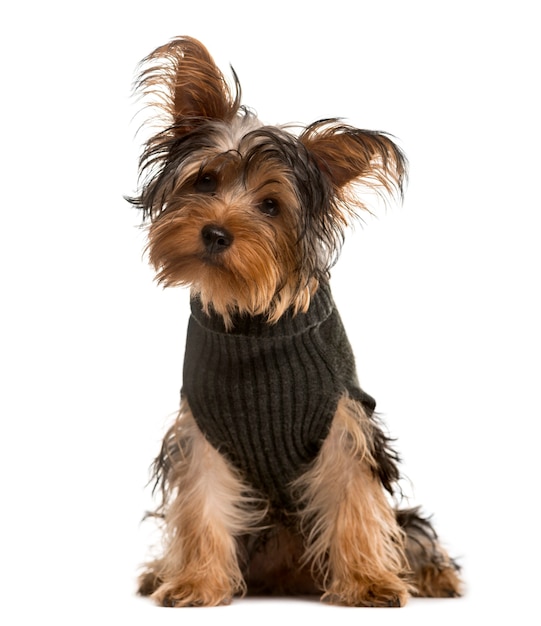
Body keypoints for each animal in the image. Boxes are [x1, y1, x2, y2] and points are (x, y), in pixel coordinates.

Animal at [126, 35, 460, 604]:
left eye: (270, 205)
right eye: (205, 180)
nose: (215, 232)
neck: (252, 321)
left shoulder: (345, 420)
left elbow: (354, 496)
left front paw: (368, 581)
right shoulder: (203, 432)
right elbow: (201, 502)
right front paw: (194, 581)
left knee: (408, 528)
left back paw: (431, 575)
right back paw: (161, 572)